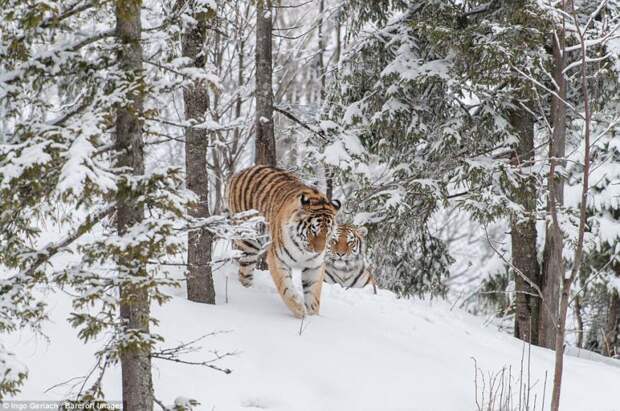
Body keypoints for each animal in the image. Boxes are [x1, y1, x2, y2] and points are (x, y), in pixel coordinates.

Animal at [226, 166, 340, 320]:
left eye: (327, 232)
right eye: (313, 230)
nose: (319, 251)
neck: (303, 250)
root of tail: (240, 172)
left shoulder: (314, 265)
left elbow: (313, 294)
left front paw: (313, 316)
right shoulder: (277, 259)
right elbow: (285, 287)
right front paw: (299, 310)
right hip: (249, 240)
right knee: (245, 270)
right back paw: (247, 291)